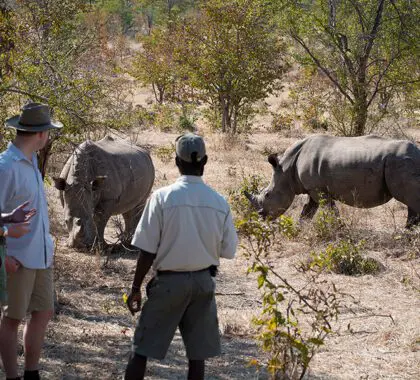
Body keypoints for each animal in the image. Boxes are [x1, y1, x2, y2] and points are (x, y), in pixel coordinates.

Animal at [244, 134, 420, 227]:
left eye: (267, 194)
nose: (261, 216)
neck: (287, 169)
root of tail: (417, 152)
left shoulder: (318, 189)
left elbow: (330, 210)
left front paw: (339, 230)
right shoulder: (313, 189)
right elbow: (308, 210)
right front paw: (300, 228)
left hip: (401, 161)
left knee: (410, 199)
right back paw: (407, 232)